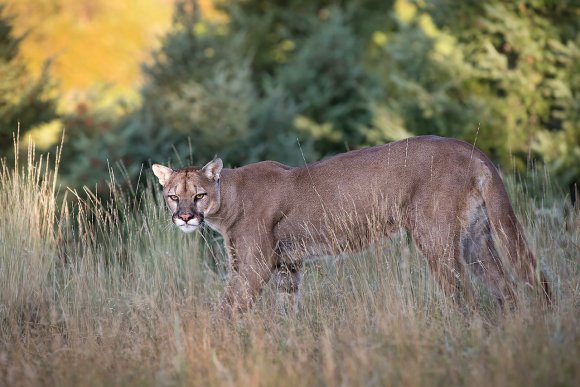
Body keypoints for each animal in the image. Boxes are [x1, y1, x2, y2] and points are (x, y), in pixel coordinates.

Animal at [152, 135, 552, 314]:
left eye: (198, 195)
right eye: (173, 196)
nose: (184, 216)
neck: (229, 198)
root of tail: (469, 147)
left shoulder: (252, 265)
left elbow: (227, 308)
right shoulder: (287, 265)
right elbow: (286, 309)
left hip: (436, 236)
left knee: (465, 294)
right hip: (476, 237)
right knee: (509, 288)